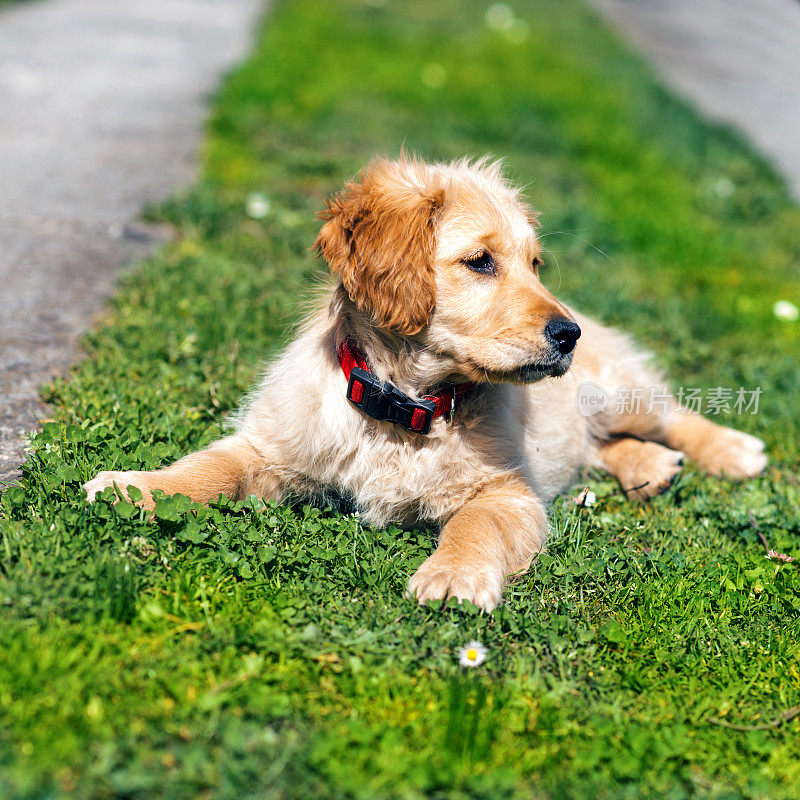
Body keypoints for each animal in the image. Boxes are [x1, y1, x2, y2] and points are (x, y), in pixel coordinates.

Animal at [84, 158, 764, 612]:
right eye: (480, 262)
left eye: (534, 265)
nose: (566, 333)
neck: (404, 407)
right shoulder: (270, 446)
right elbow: (206, 468)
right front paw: (134, 487)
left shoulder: (507, 492)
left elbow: (475, 525)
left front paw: (455, 576)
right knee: (599, 447)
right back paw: (649, 467)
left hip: (617, 391)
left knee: (672, 413)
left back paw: (732, 451)